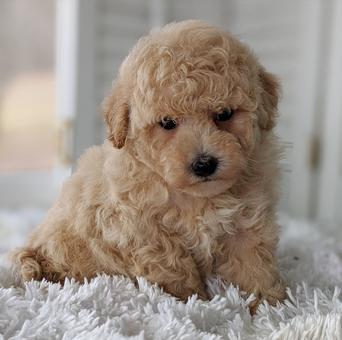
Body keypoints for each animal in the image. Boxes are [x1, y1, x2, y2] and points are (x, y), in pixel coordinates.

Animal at [12, 19, 286, 312]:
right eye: (167, 123)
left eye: (224, 114)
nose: (204, 164)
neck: (198, 198)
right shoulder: (142, 229)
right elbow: (173, 264)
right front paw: (189, 302)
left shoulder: (247, 218)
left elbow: (253, 261)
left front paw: (268, 304)